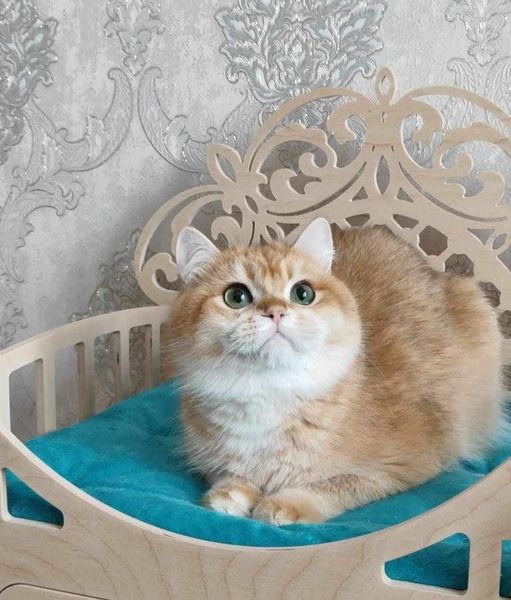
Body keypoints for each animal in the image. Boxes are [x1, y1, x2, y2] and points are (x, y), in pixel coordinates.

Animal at [162, 218, 502, 525]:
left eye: (302, 293)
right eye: (236, 297)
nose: (276, 312)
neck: (270, 394)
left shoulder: (404, 465)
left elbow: (333, 485)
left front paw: (285, 503)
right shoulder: (210, 459)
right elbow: (227, 474)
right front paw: (231, 492)